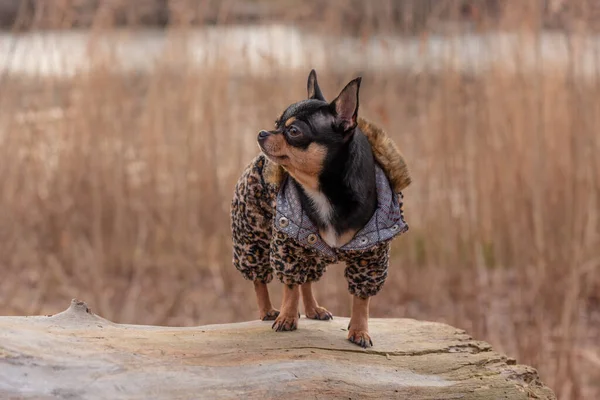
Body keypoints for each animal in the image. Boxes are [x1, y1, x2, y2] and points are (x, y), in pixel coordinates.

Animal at [230, 69, 408, 346]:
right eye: (276, 122)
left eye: (293, 131)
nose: (262, 132)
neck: (323, 190)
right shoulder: (288, 245)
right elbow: (290, 287)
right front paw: (287, 317)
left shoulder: (371, 256)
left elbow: (362, 299)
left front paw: (359, 330)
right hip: (253, 237)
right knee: (260, 278)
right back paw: (269, 310)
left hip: (309, 250)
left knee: (307, 280)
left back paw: (313, 309)